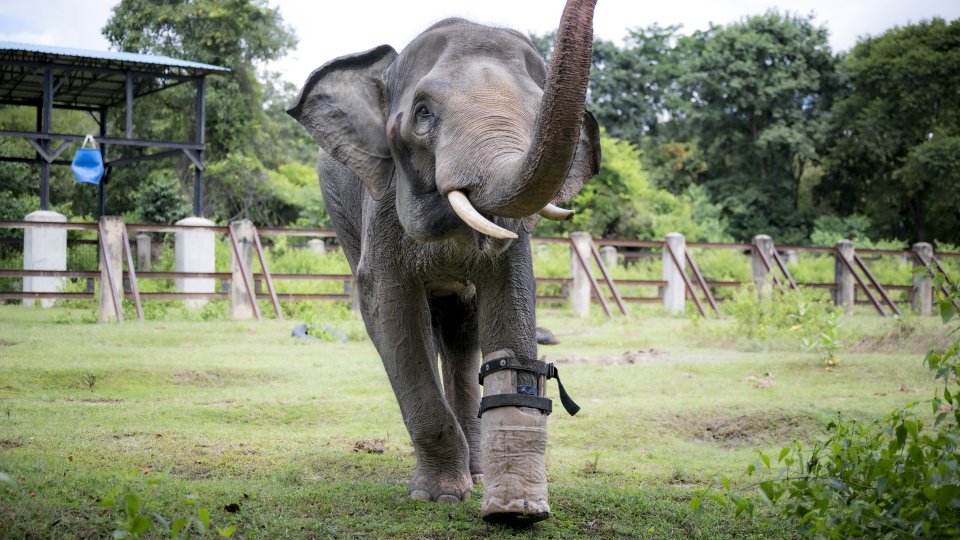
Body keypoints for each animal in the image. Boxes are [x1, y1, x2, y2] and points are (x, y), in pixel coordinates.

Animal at [286, 0, 600, 510]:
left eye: (538, 113)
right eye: (423, 113)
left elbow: (510, 301)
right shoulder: (382, 205)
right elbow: (389, 308)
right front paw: (438, 497)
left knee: (461, 332)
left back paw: (477, 468)